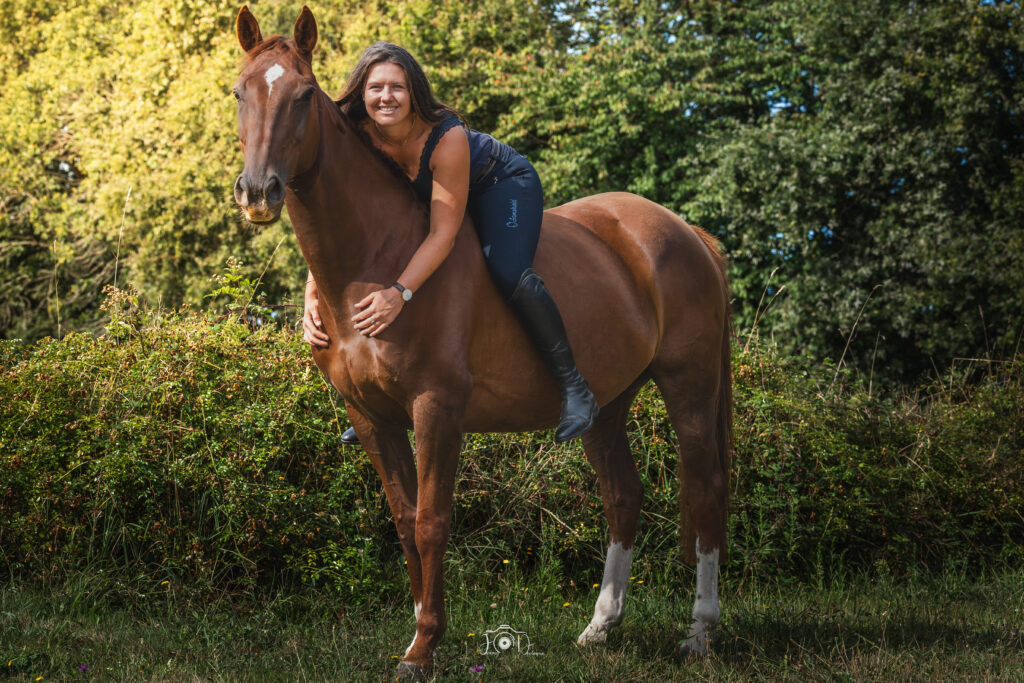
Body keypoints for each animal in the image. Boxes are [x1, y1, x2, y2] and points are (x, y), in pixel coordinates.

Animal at [232, 6, 732, 677]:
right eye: (241, 92)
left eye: (304, 95)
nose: (258, 192)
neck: (376, 258)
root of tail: (686, 233)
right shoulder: (370, 417)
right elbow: (403, 519)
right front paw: (420, 634)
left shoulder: (437, 409)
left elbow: (432, 523)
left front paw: (423, 648)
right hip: (609, 405)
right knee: (623, 496)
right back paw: (599, 628)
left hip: (690, 391)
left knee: (704, 494)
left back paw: (699, 632)